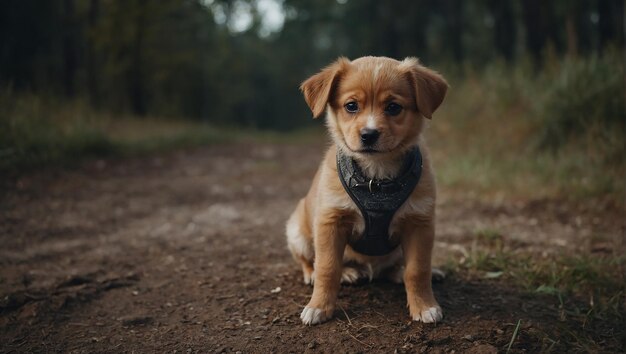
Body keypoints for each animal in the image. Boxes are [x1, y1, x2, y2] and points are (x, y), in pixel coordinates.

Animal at [286, 55, 446, 324]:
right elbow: (327, 267)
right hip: (297, 232)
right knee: (309, 261)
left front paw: (424, 306)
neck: (376, 179)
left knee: (396, 267)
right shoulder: (330, 221)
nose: (369, 135)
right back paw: (338, 273)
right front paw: (319, 306)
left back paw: (399, 271)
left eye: (393, 107)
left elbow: (417, 269)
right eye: (351, 106)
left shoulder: (420, 223)